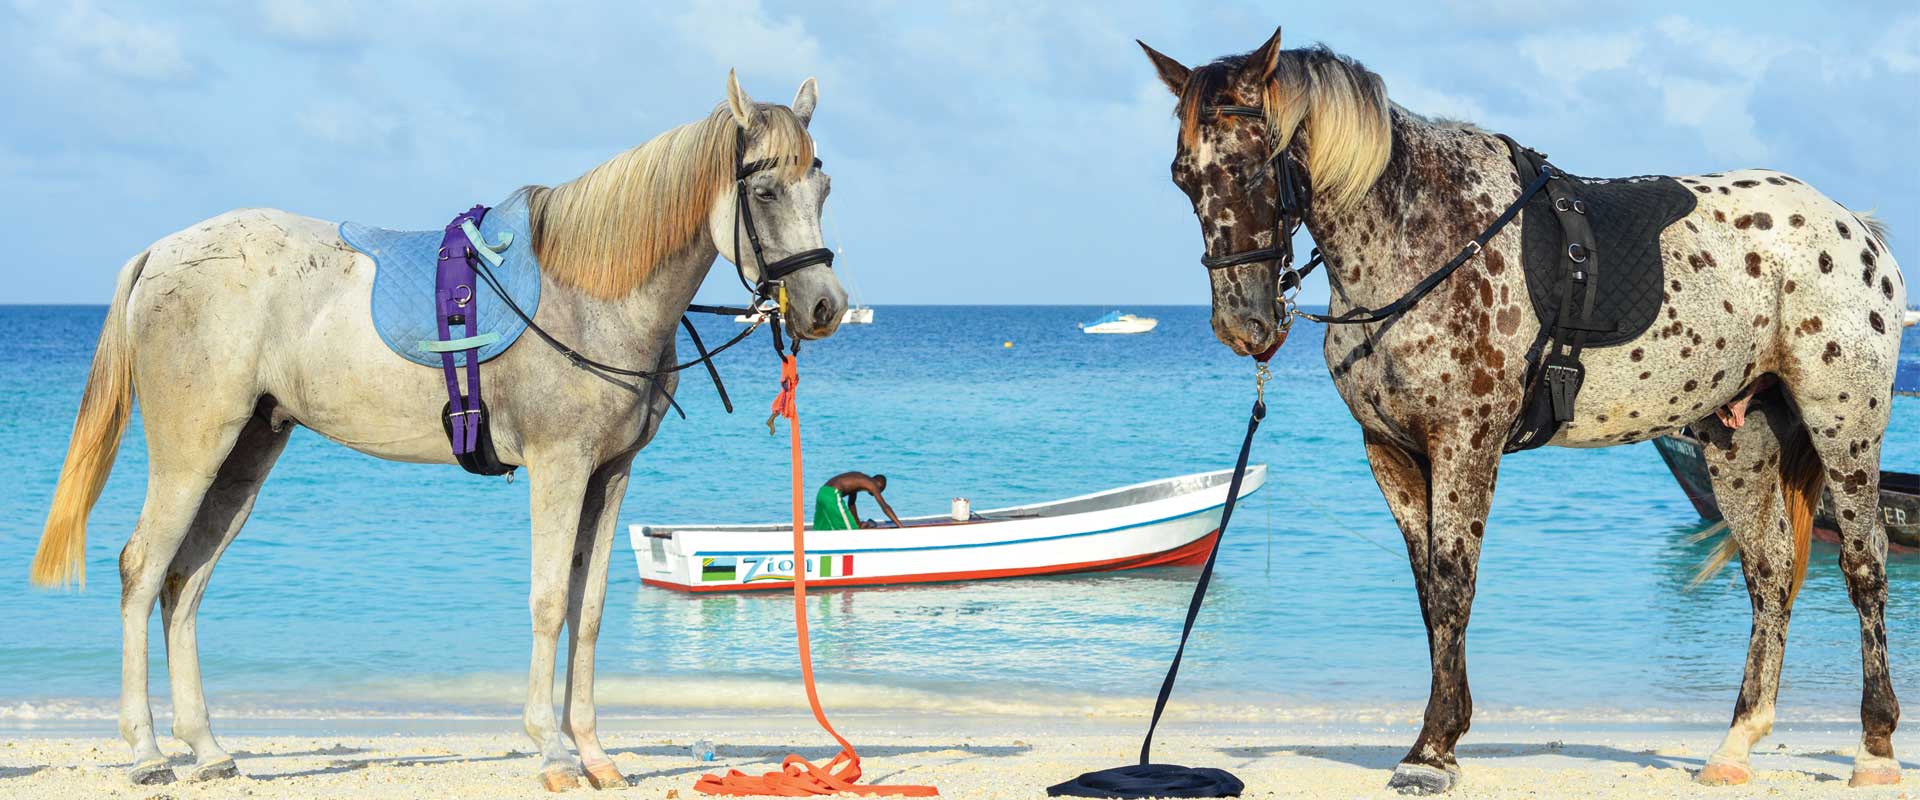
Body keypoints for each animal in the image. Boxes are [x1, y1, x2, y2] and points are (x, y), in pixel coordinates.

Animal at [28, 72, 844, 792]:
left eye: (823, 187)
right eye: (765, 190)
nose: (825, 305)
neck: (591, 291)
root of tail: (162, 252)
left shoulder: (609, 474)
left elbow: (589, 611)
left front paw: (594, 753)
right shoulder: (559, 468)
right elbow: (550, 602)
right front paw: (553, 753)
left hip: (245, 458)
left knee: (184, 582)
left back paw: (208, 749)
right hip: (191, 454)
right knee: (141, 571)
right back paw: (146, 753)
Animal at [1138, 28, 1902, 794]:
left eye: (1256, 166)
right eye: (1181, 176)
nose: (1245, 324)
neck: (1426, 236)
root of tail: (1857, 232)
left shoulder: (1464, 444)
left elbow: (1454, 585)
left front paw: (1432, 750)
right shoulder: (1392, 453)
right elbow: (1429, 592)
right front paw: (1445, 731)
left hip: (1845, 429)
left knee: (1863, 563)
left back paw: (1875, 746)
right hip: (1738, 442)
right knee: (1769, 571)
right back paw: (1736, 744)